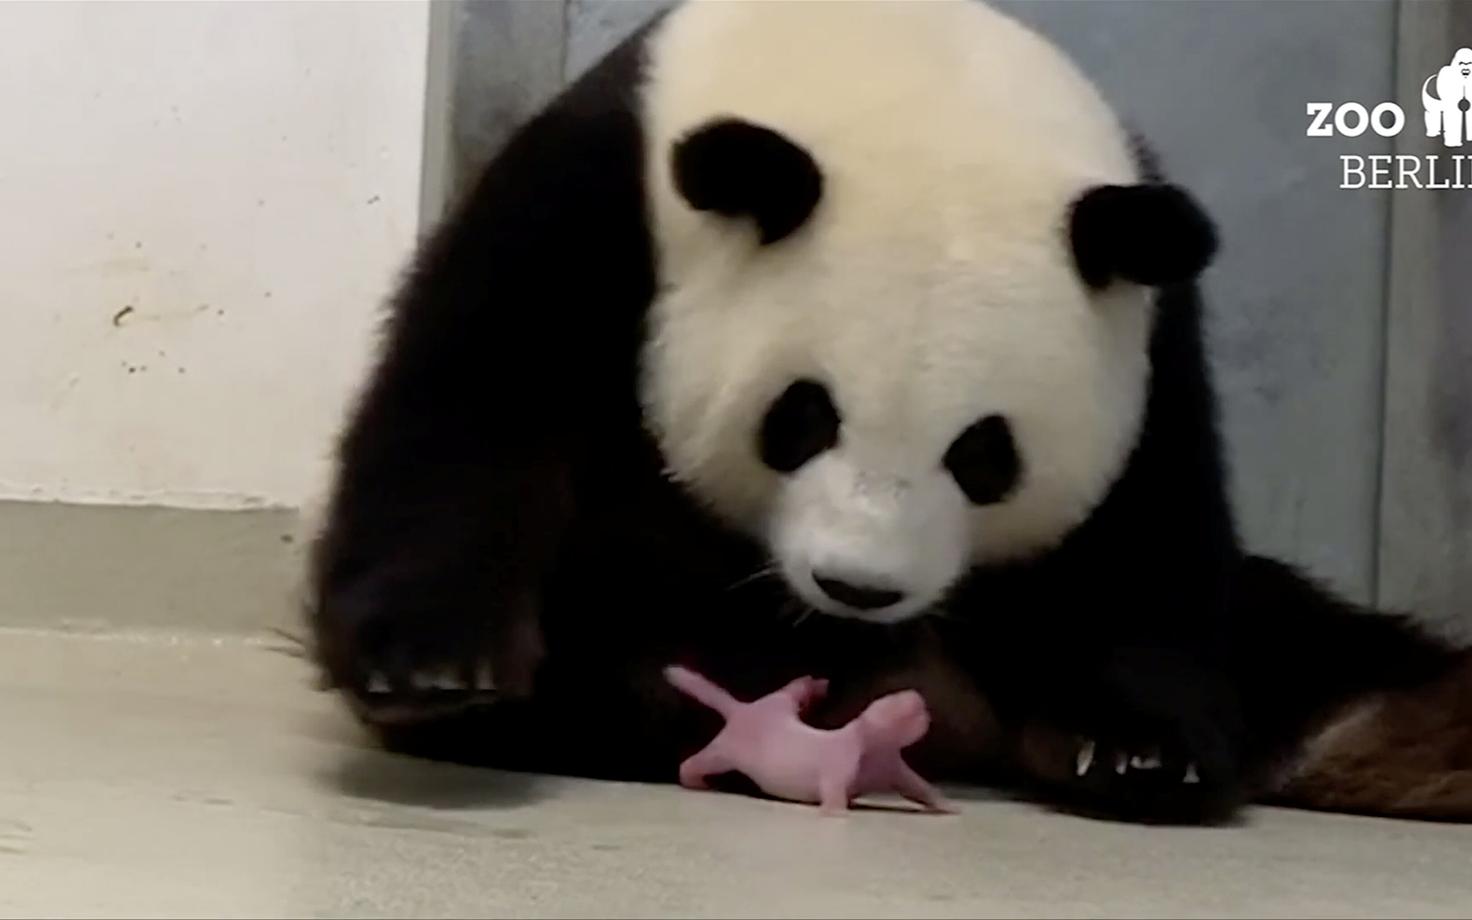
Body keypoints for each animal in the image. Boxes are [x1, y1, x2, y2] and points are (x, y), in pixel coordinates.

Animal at [308, 0, 1470, 824]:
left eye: (986, 455)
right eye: (799, 417)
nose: (856, 590)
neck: (909, 65)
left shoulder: (1150, 317)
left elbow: (1143, 526)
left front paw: (1137, 747)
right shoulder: (597, 201)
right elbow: (471, 408)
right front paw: (433, 666)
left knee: (1312, 646)